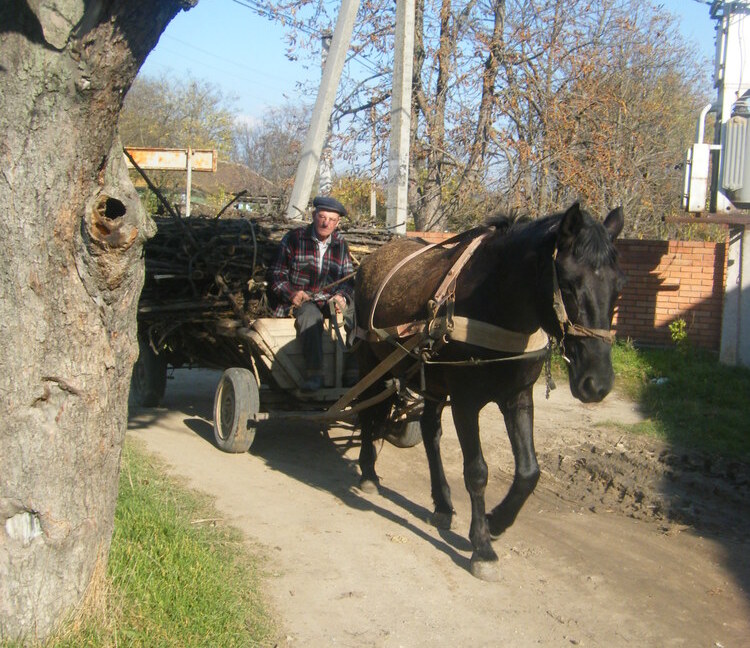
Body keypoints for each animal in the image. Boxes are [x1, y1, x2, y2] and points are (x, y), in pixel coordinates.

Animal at [356, 200, 624, 580]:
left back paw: (442, 503)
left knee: (430, 433)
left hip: (431, 378)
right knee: (367, 410)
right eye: (570, 286)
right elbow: (477, 471)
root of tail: (372, 259)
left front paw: (497, 521)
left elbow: (528, 472)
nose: (597, 384)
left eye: (618, 287)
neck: (497, 302)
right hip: (369, 360)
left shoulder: (518, 397)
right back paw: (368, 471)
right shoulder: (465, 403)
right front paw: (482, 546)